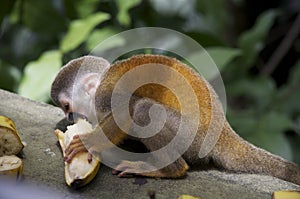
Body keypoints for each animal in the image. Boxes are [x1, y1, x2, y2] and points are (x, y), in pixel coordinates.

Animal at [51, 54, 300, 185]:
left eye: (67, 106)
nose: (69, 116)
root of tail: (223, 132)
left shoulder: (106, 95)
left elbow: (125, 113)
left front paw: (88, 142)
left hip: (191, 137)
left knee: (143, 110)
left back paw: (169, 170)